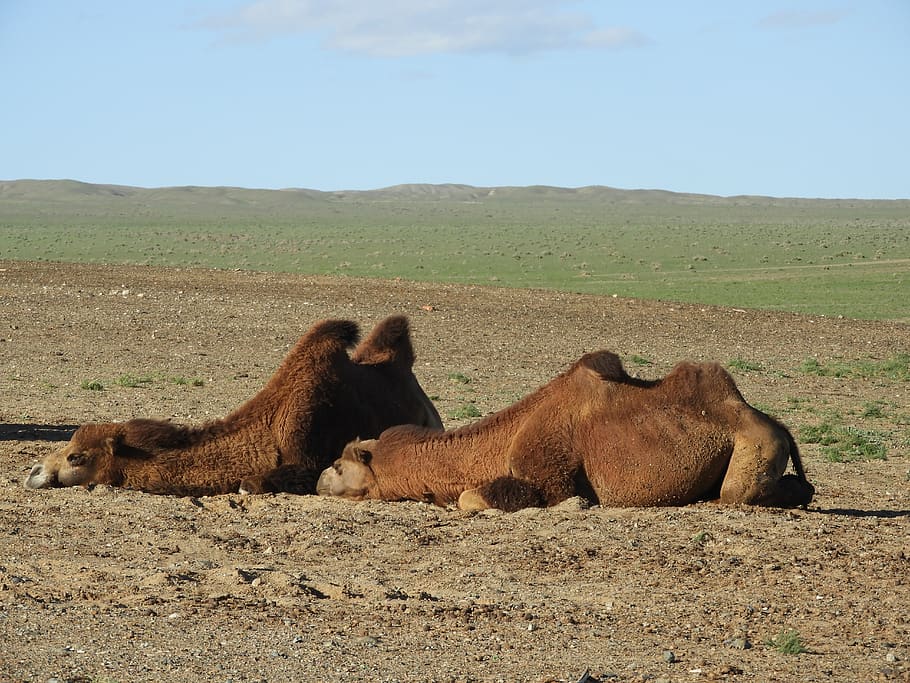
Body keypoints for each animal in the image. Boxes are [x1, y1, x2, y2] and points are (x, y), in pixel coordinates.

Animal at [316, 350, 815, 511]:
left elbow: (471, 498)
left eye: (339, 464)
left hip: (755, 448)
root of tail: (778, 424)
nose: (318, 478)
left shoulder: (548, 479)